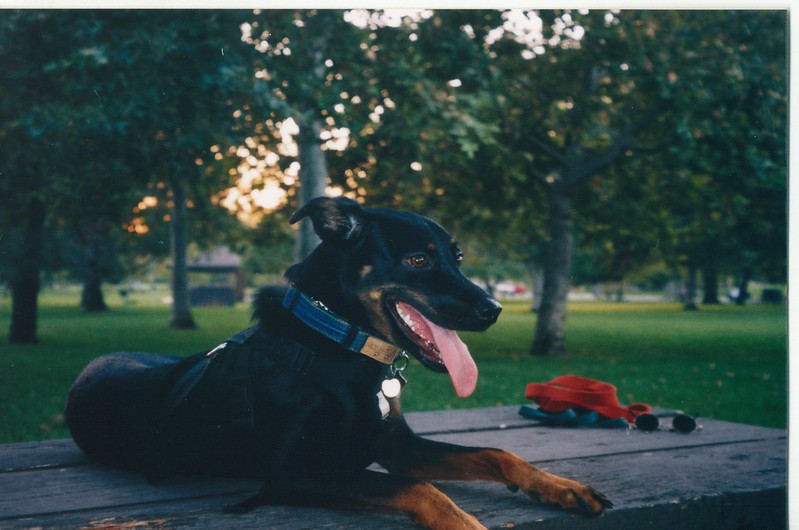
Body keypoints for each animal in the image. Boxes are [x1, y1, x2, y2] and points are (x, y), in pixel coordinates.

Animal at [65, 196, 608, 524]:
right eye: (418, 260)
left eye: (457, 256)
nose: (493, 309)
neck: (342, 342)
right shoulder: (298, 472)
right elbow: (423, 489)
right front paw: (467, 522)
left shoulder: (398, 447)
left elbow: (496, 453)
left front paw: (560, 487)